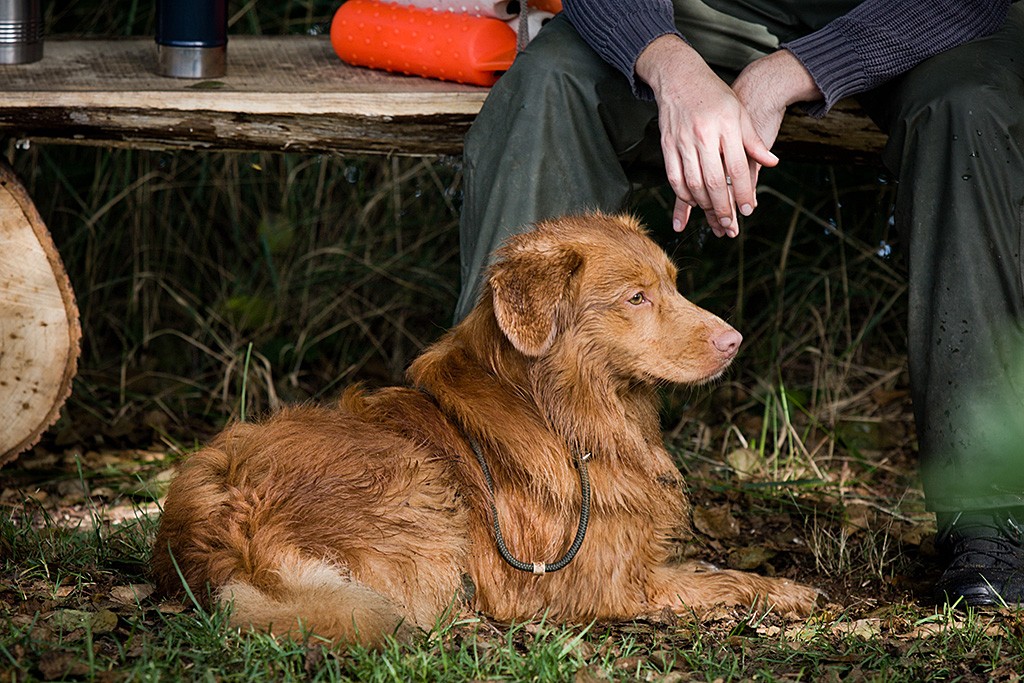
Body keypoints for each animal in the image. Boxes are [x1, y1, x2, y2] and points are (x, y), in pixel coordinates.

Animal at [151, 211, 819, 647]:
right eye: (636, 298)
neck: (560, 411)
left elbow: (706, 568)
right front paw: (791, 594)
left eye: (674, 285)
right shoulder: (610, 586)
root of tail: (223, 534)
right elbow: (721, 580)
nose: (735, 340)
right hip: (415, 482)